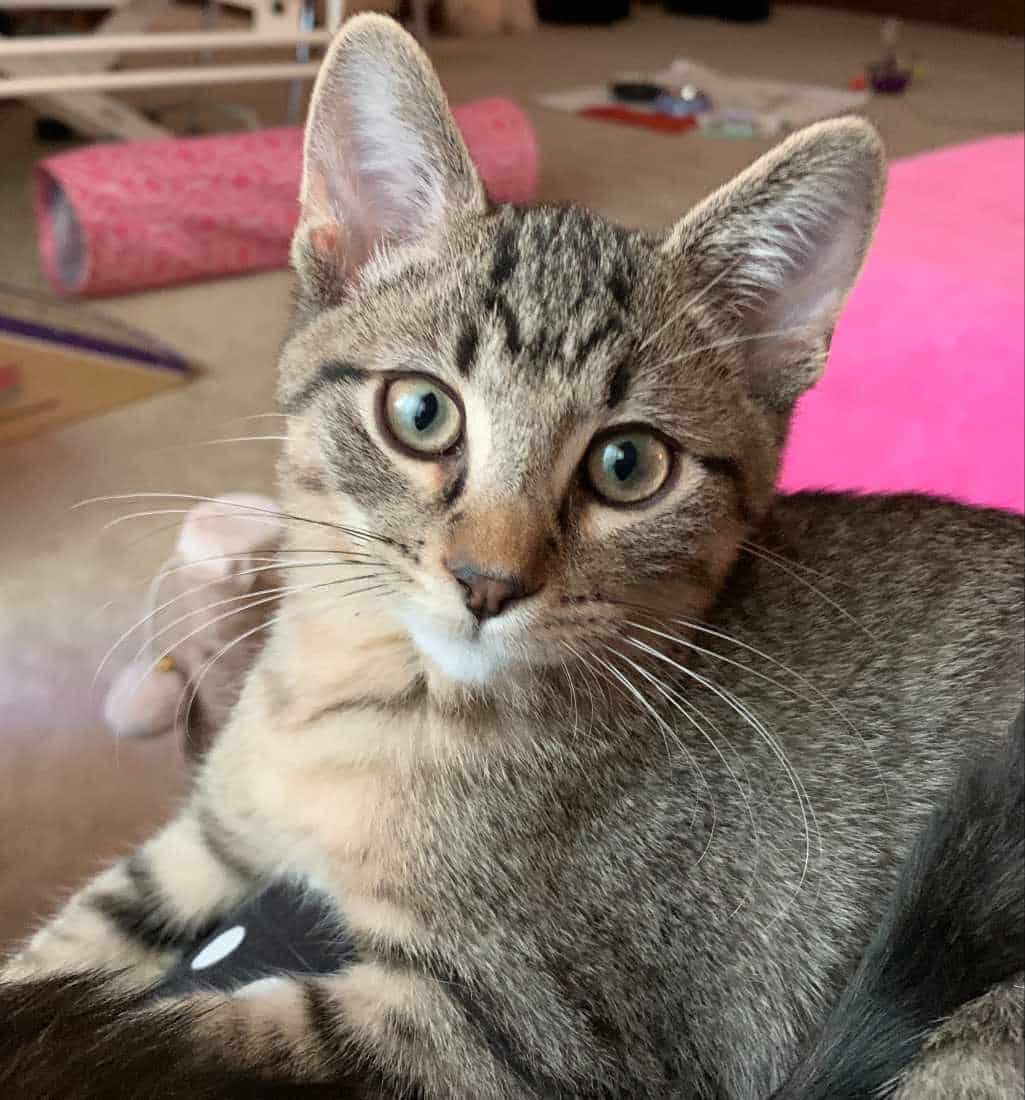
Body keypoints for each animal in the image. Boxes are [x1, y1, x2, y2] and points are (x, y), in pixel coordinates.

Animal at [1, 14, 1022, 1099]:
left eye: (627, 464)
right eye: (419, 412)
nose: (487, 582)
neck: (356, 695)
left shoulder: (535, 1035)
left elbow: (176, 1032)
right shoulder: (212, 831)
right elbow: (73, 940)